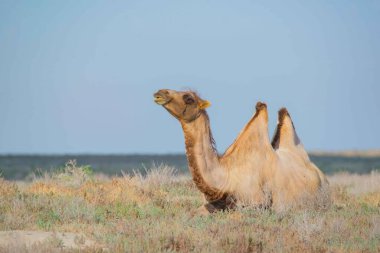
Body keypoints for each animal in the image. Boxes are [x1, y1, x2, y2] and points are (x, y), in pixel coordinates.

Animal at [153, 89, 328, 213]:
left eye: (188, 98)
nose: (160, 93)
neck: (226, 178)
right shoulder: (212, 203)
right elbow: (192, 213)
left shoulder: (258, 203)